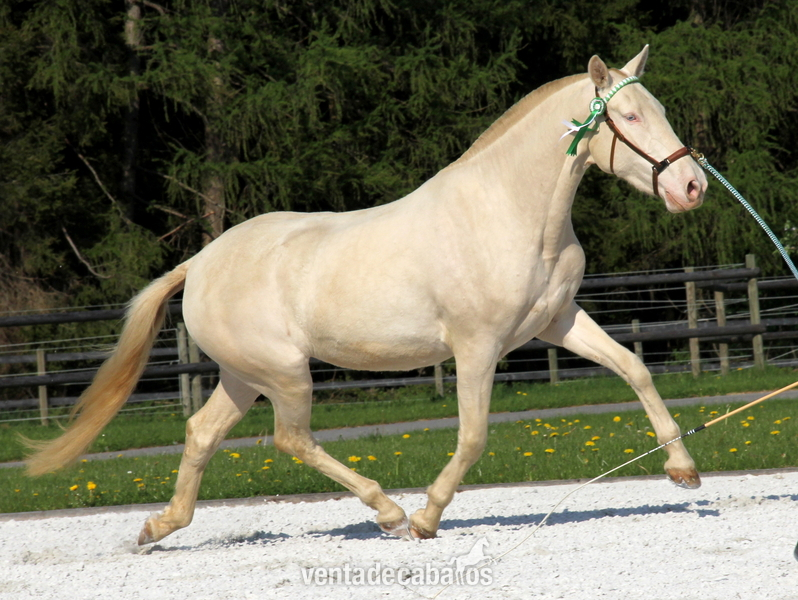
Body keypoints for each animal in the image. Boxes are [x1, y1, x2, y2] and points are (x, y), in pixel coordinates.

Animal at [25, 46, 706, 544]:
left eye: (659, 108)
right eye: (631, 117)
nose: (693, 187)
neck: (511, 213)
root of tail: (198, 263)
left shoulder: (556, 321)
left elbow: (634, 368)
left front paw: (683, 471)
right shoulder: (478, 347)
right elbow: (474, 435)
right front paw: (428, 517)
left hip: (245, 375)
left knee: (201, 433)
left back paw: (160, 526)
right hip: (285, 373)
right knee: (290, 440)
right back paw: (389, 512)